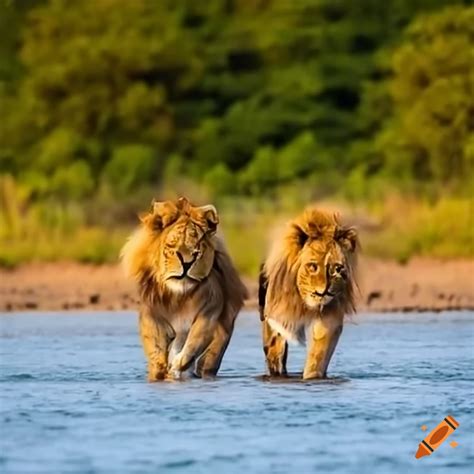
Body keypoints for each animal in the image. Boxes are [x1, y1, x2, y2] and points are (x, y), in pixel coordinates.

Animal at [120, 196, 248, 382]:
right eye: (172, 246)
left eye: (197, 249)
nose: (187, 263)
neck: (179, 296)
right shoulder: (152, 316)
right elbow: (155, 348)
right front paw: (159, 369)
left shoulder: (208, 313)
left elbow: (195, 342)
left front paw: (178, 365)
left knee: (211, 355)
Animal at [258, 207, 358, 382]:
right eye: (312, 267)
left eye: (337, 269)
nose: (323, 292)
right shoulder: (277, 315)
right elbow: (276, 350)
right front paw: (277, 373)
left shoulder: (329, 317)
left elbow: (318, 355)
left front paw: (312, 378)